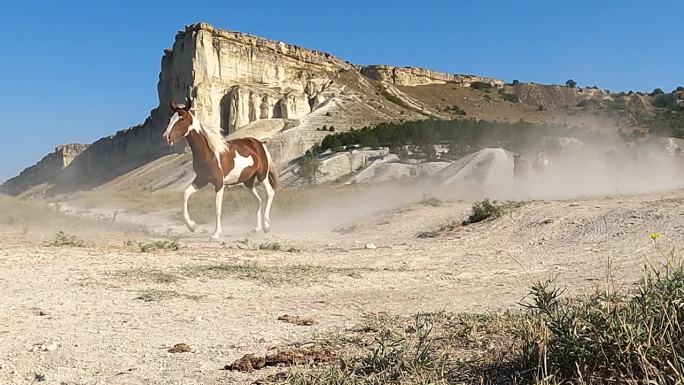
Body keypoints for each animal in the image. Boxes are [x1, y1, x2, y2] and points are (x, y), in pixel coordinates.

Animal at [162, 97, 276, 238]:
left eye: (181, 118)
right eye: (170, 118)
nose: (166, 137)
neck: (209, 153)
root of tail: (259, 144)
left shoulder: (219, 182)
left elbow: (217, 208)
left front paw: (216, 234)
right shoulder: (201, 180)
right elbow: (185, 194)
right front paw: (192, 226)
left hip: (262, 176)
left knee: (270, 193)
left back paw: (266, 226)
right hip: (248, 181)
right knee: (258, 200)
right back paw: (255, 229)